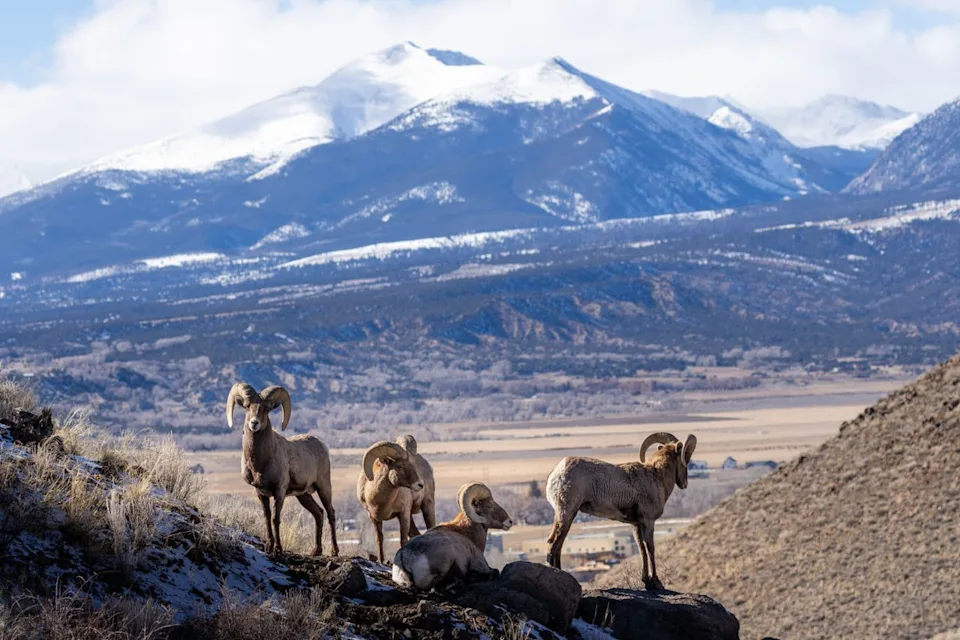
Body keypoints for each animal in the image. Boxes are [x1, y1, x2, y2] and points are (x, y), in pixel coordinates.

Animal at [225, 382, 338, 557]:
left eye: (266, 408)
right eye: (247, 406)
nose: (254, 423)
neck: (261, 462)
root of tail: (322, 445)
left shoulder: (279, 491)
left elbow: (275, 519)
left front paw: (278, 549)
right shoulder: (260, 493)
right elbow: (267, 518)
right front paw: (269, 547)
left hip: (323, 487)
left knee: (330, 513)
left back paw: (334, 551)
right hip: (304, 495)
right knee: (318, 513)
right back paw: (316, 551)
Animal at [545, 431, 697, 590]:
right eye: (686, 457)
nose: (685, 484)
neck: (657, 477)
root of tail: (556, 474)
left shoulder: (636, 525)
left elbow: (641, 549)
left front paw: (646, 581)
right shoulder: (648, 521)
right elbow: (650, 549)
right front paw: (656, 582)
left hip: (568, 515)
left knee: (559, 543)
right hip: (566, 512)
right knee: (553, 541)